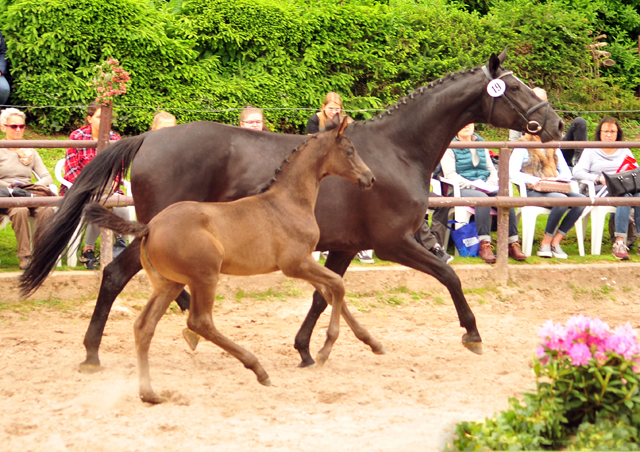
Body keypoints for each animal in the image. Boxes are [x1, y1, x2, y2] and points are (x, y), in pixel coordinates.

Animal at [84, 118, 376, 404]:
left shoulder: (303, 265)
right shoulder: (296, 263)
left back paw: (150, 393)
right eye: (350, 151)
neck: (287, 202)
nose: (370, 178)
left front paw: (370, 342)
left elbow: (329, 292)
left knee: (144, 326)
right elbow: (337, 285)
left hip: (168, 284)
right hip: (205, 276)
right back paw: (258, 369)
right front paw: (325, 349)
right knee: (199, 322)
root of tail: (149, 227)